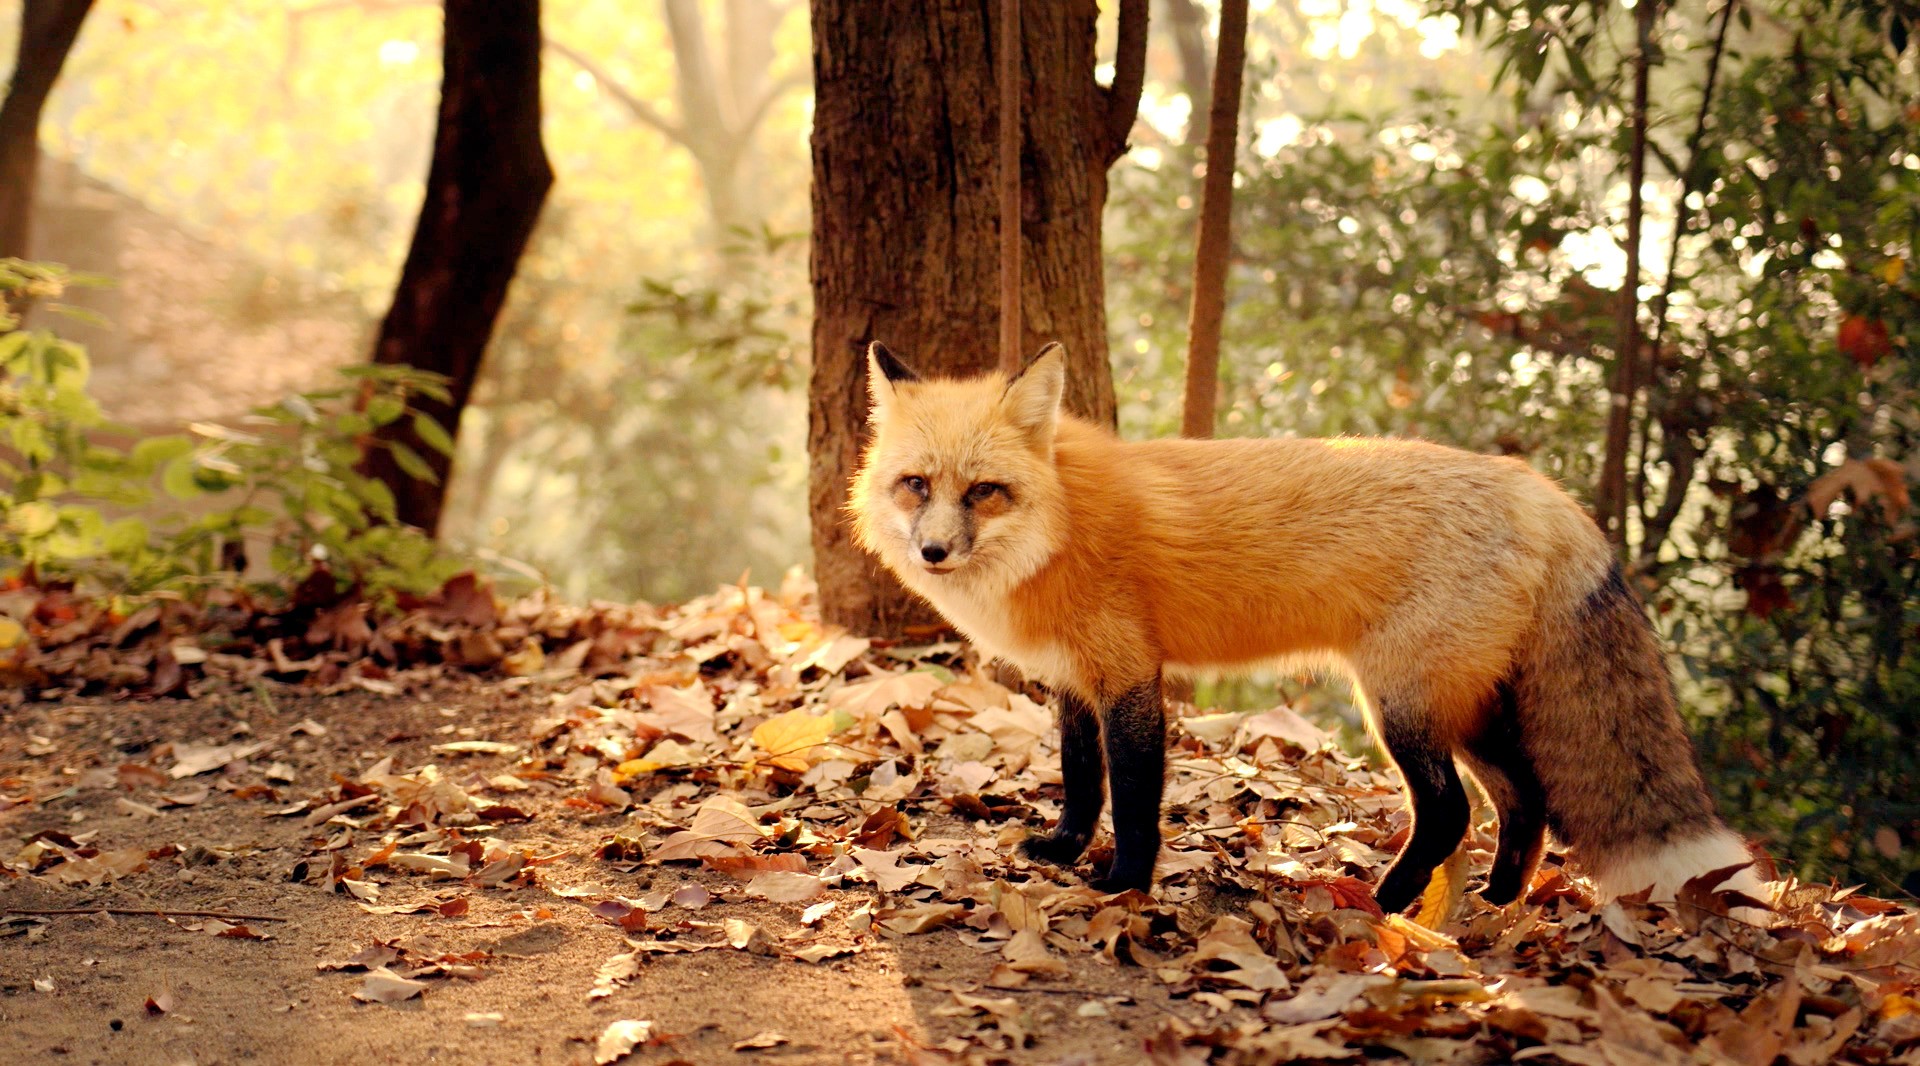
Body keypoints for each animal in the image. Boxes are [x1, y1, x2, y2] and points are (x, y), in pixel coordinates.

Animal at [848, 343, 1758, 918]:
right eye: (916, 484)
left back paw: (1387, 903)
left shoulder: (1131, 677)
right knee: (1523, 796)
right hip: (1463, 705)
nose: (932, 552)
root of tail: (1540, 489)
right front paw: (1067, 850)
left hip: (1400, 705)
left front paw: (1124, 883)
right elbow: (1080, 780)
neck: (1061, 527)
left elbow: (1134, 798)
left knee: (1449, 811)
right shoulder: (1075, 680)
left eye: (984, 492)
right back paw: (1499, 901)